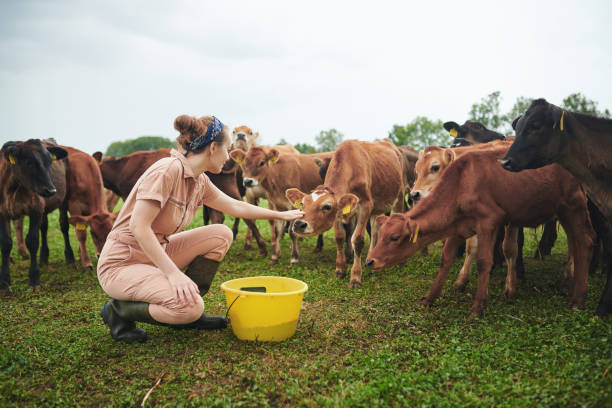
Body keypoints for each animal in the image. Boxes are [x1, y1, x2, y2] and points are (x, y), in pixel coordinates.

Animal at [0, 139, 68, 292]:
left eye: (50, 161)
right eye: (28, 162)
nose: (51, 190)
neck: (12, 190)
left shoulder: (36, 209)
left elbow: (32, 241)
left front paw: (34, 279)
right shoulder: (2, 213)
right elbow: (6, 243)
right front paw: (4, 282)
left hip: (64, 201)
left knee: (64, 226)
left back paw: (70, 258)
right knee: (44, 228)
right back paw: (43, 258)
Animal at [284, 140, 408, 286]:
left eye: (327, 206)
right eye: (303, 203)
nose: (298, 224)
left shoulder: (365, 206)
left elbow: (357, 240)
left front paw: (355, 276)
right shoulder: (339, 214)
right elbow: (339, 237)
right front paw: (340, 270)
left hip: (399, 197)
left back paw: (400, 263)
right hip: (376, 209)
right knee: (375, 231)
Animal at [366, 148, 596, 318]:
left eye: (394, 237)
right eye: (380, 236)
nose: (370, 261)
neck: (462, 182)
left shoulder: (489, 222)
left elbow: (484, 261)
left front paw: (478, 306)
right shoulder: (458, 228)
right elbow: (446, 259)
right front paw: (430, 297)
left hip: (574, 206)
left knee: (584, 242)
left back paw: (578, 298)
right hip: (563, 212)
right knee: (576, 244)